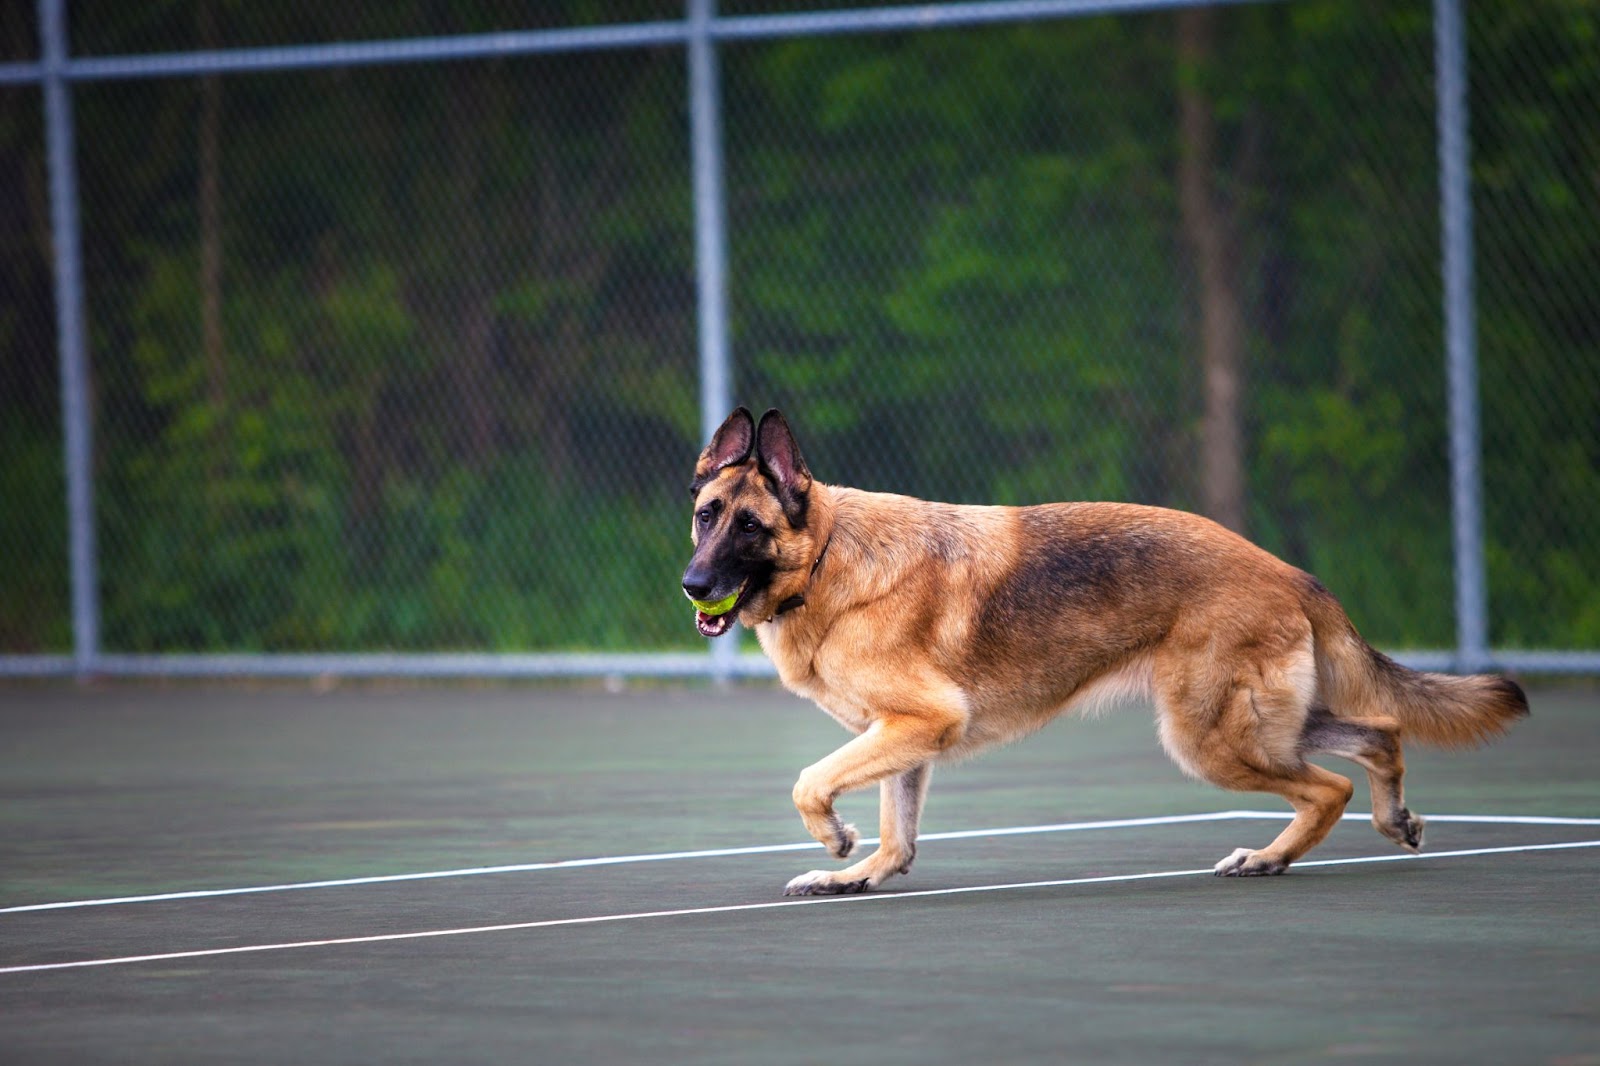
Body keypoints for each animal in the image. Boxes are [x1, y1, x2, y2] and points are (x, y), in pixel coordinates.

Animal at [681, 404, 1529, 889]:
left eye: (749, 527)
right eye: (705, 515)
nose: (693, 585)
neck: (827, 554)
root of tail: (1287, 570)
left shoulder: (918, 724)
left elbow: (809, 782)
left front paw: (835, 839)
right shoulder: (904, 740)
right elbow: (898, 834)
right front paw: (860, 873)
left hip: (1207, 739)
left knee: (1329, 788)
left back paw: (1269, 858)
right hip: (1262, 723)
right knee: (1379, 734)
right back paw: (1392, 821)